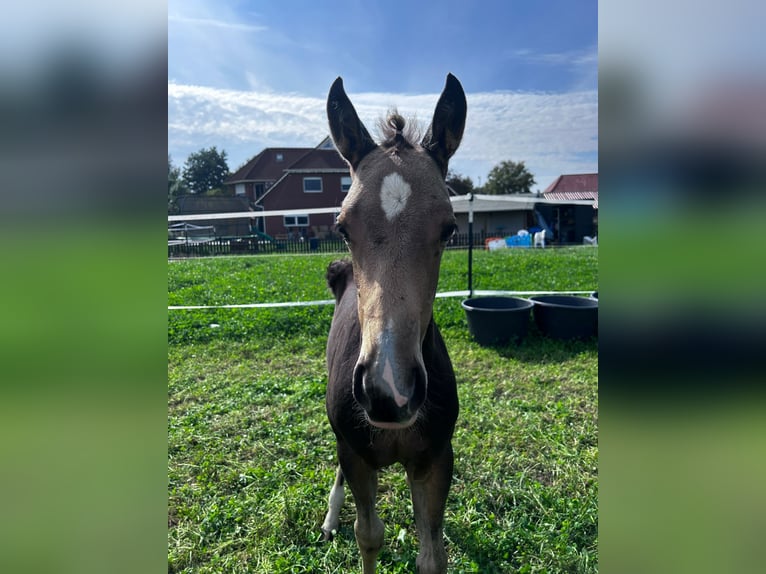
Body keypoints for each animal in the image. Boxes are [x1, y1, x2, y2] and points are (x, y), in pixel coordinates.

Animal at [320, 75, 464, 574]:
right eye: (342, 227)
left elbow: (432, 554)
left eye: (449, 228)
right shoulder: (356, 455)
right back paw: (329, 518)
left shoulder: (435, 461)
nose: (390, 390)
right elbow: (369, 536)